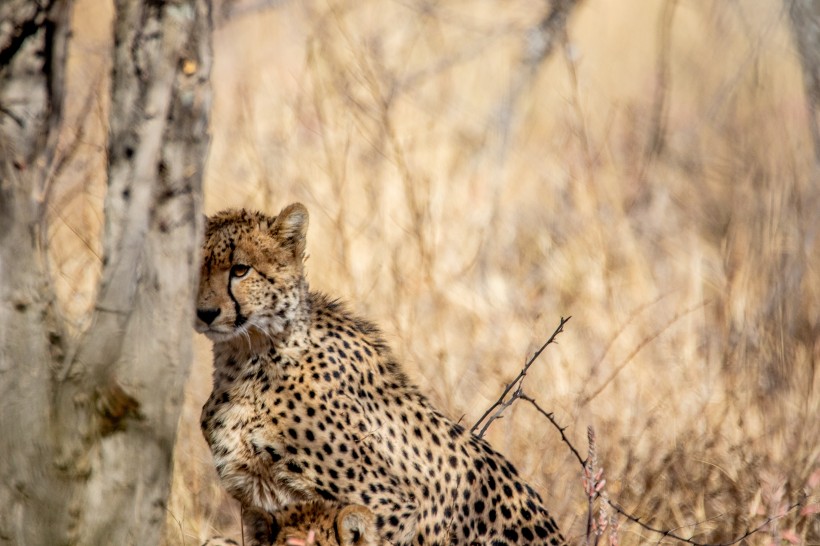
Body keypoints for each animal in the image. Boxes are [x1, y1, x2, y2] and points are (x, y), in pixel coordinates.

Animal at [198, 205, 568, 544]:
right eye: (195, 267)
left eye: (240, 269)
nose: (205, 313)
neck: (247, 358)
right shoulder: (259, 500)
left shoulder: (391, 506)